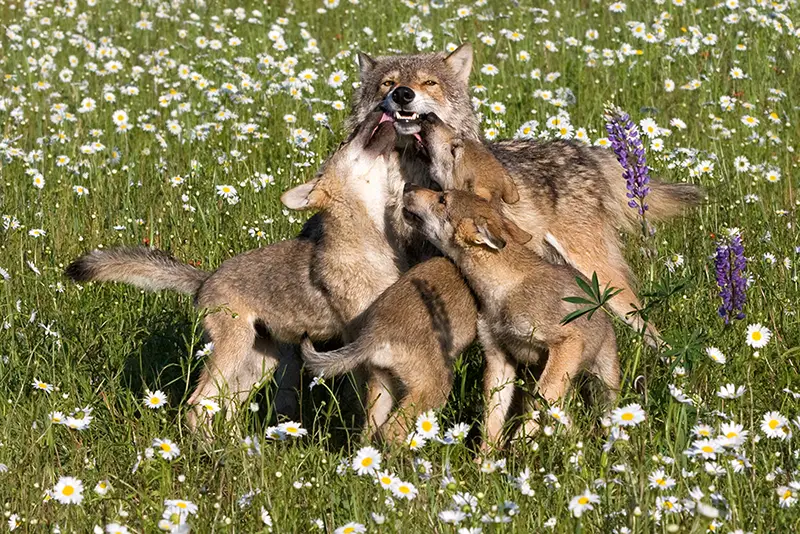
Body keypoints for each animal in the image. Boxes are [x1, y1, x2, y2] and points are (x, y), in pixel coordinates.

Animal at [65, 112, 400, 430]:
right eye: (346, 142)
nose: (384, 107)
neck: (368, 241)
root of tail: (204, 281)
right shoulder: (359, 340)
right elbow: (370, 403)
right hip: (235, 352)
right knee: (198, 405)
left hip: (257, 364)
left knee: (225, 408)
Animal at [350, 43, 703, 346]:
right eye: (388, 83)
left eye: (429, 82)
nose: (403, 94)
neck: (407, 173)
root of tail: (584, 150)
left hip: (600, 275)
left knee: (645, 324)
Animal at [403, 186, 620, 449]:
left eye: (443, 199)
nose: (408, 187)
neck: (503, 290)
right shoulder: (498, 358)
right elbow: (492, 419)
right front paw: (487, 458)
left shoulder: (567, 341)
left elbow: (541, 399)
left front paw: (520, 440)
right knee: (567, 421)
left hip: (605, 379)